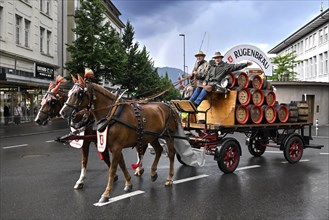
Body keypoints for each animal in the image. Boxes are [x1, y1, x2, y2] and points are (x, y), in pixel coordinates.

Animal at [57, 74, 178, 203]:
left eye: (78, 94)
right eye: (69, 92)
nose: (63, 112)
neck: (112, 115)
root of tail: (168, 105)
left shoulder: (116, 147)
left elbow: (112, 168)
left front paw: (106, 193)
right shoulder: (112, 146)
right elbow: (121, 164)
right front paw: (128, 183)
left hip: (169, 135)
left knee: (171, 154)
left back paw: (169, 178)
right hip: (151, 136)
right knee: (159, 150)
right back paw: (153, 172)